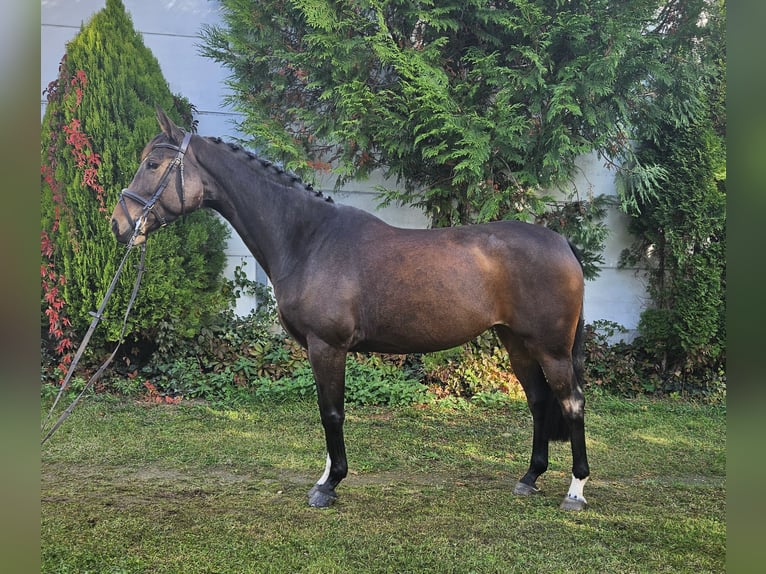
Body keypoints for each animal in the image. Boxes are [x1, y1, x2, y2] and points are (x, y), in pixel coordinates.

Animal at [112, 109, 592, 512]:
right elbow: (327, 411)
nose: (119, 224)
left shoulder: (327, 346)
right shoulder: (320, 349)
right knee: (538, 401)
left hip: (551, 349)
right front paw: (324, 477)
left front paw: (329, 485)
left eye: (153, 164)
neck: (309, 239)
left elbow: (332, 413)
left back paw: (575, 491)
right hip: (517, 343)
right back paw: (529, 478)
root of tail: (562, 243)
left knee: (571, 403)